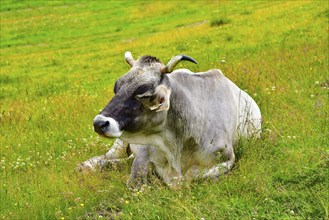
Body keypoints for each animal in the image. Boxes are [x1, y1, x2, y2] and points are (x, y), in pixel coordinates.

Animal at [78, 51, 260, 187]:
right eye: (117, 87)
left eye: (143, 94)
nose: (99, 123)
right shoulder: (145, 147)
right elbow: (136, 175)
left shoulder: (228, 159)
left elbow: (193, 178)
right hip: (120, 143)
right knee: (106, 157)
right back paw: (87, 166)